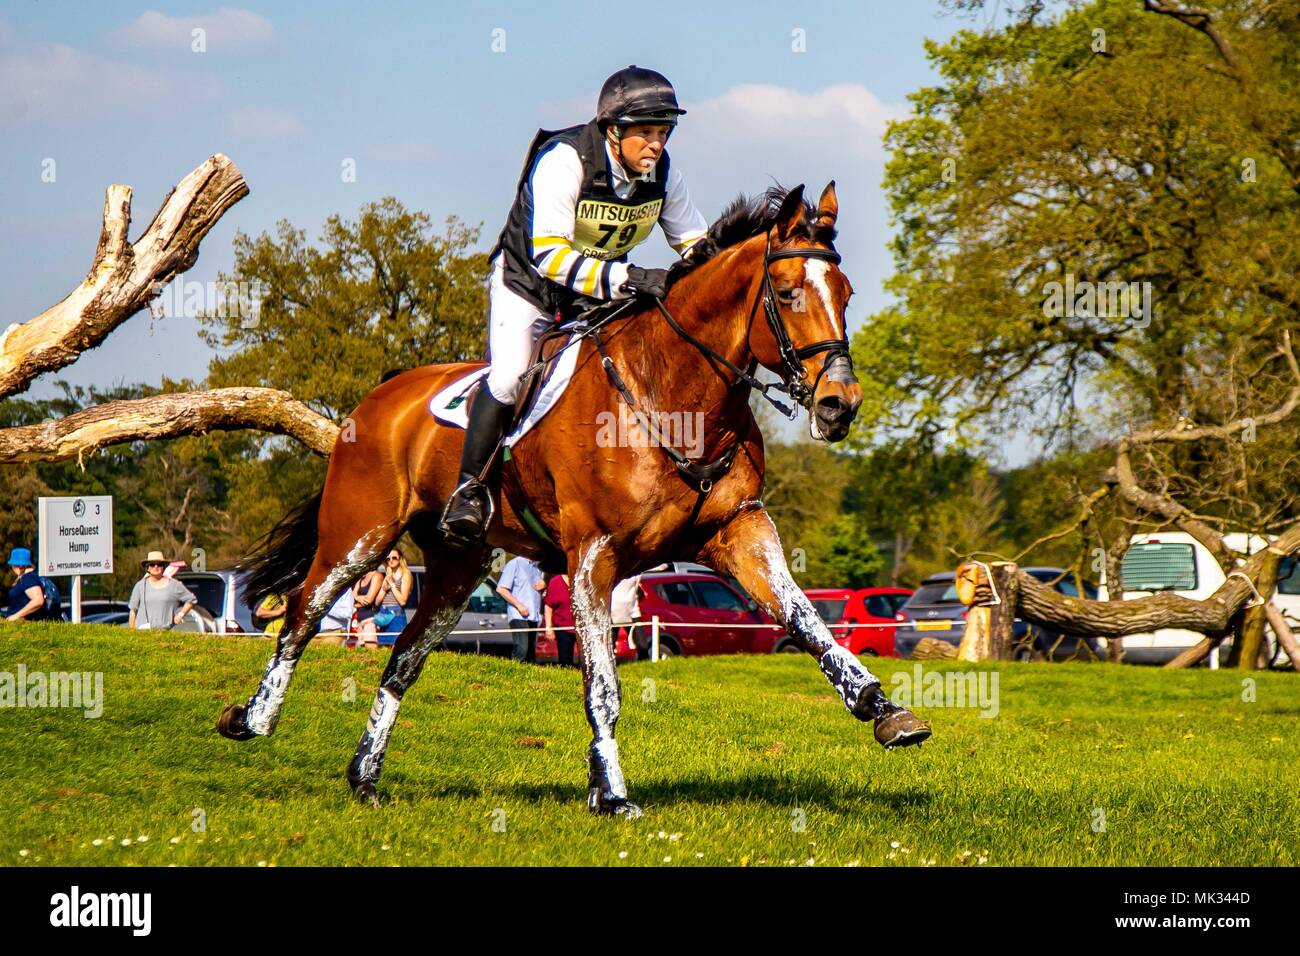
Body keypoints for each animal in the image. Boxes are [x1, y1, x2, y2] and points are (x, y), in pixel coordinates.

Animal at [220, 183, 935, 816]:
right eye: (786, 294)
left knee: (403, 659)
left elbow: (808, 622)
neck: (676, 397)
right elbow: (603, 687)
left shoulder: (738, 531)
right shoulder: (593, 557)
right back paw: (251, 719)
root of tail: (374, 398)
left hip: (457, 567)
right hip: (360, 537)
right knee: (303, 613)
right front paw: (612, 794)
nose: (839, 406)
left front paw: (884, 710)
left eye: (846, 294)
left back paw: (364, 778)